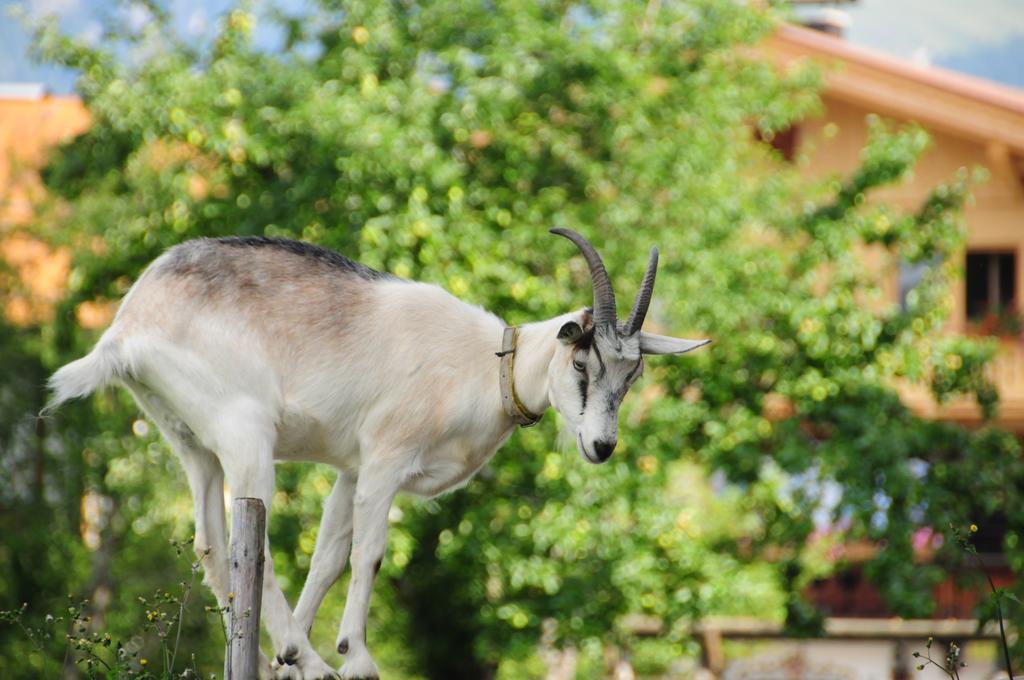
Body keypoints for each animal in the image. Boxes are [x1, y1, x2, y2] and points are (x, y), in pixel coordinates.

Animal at [46, 229, 704, 680]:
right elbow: (370, 554)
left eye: (633, 373)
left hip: (190, 441)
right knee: (251, 542)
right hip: (245, 432)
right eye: (581, 361)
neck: (486, 366)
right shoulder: (387, 458)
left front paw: (292, 663)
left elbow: (329, 556)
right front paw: (354, 656)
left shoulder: (351, 470)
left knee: (212, 544)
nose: (602, 446)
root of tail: (126, 328)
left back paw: (275, 654)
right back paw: (309, 657)